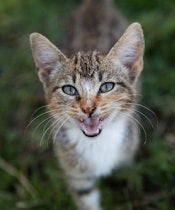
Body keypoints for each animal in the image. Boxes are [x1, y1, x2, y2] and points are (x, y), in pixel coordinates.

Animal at [29, 0, 144, 210]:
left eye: (107, 86)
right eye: (69, 89)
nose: (88, 108)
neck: (97, 142)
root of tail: (94, 4)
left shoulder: (128, 149)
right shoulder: (75, 172)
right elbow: (86, 198)